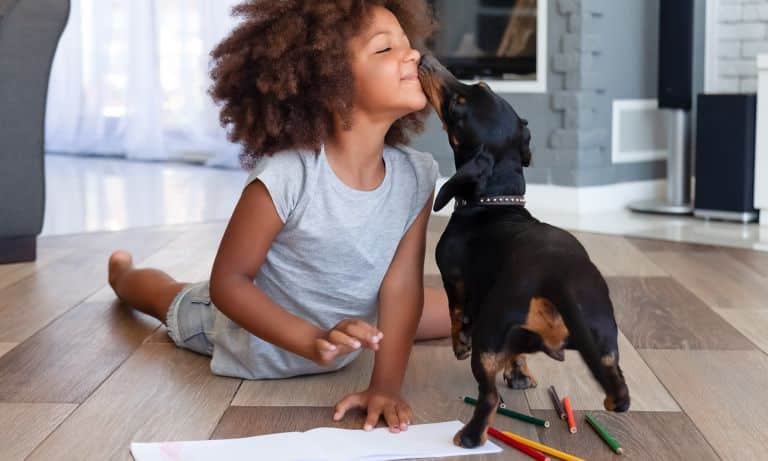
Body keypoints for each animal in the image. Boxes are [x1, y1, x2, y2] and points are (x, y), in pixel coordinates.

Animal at [417, 54, 630, 449]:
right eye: (482, 85)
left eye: (457, 106)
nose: (426, 59)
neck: (497, 202)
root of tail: (556, 279)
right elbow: (516, 355)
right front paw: (520, 375)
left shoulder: (453, 279)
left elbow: (456, 313)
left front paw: (459, 343)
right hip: (605, 337)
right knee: (617, 383)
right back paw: (613, 399)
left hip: (488, 338)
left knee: (488, 396)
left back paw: (470, 436)